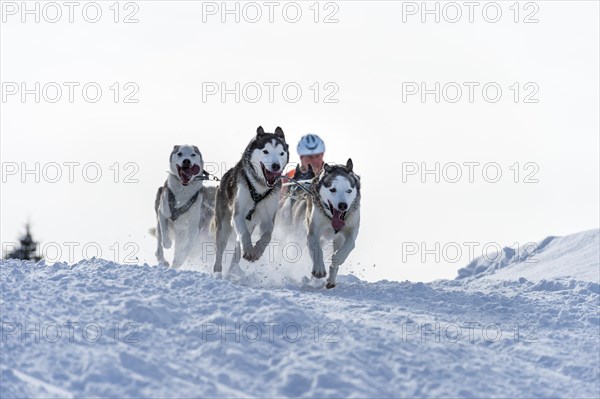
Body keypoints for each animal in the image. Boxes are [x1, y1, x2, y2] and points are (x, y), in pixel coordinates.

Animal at [212, 126, 290, 274]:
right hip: (224, 225)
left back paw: (232, 270)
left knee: (237, 250)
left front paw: (257, 251)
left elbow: (267, 236)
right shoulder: (238, 215)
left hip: (248, 224)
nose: (276, 166)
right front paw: (249, 250)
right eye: (265, 151)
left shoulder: (268, 218)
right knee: (221, 248)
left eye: (281, 153)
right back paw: (218, 271)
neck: (259, 188)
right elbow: (245, 235)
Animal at [292, 159, 360, 288]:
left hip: (337, 240)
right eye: (333, 189)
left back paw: (331, 280)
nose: (343, 205)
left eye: (349, 190)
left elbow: (349, 245)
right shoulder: (313, 233)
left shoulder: (351, 231)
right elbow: (317, 250)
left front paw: (337, 258)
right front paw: (319, 269)